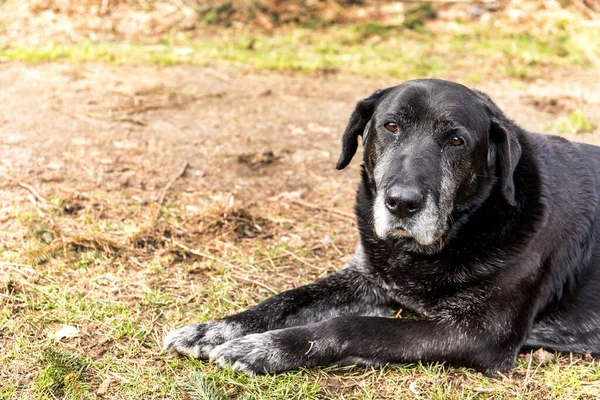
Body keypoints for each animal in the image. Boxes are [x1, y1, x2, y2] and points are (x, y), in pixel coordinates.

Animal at [163, 79, 600, 376]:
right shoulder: (368, 278)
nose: (402, 203)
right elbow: (287, 299)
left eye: (456, 141)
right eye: (390, 126)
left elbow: (355, 326)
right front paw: (216, 329)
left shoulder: (481, 334)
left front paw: (262, 349)